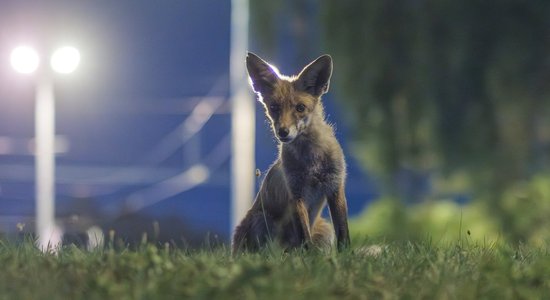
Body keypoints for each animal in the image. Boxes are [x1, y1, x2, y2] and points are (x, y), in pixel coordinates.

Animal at [231, 53, 352, 253]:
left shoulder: (335, 184)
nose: (283, 132)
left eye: (300, 108)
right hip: (261, 220)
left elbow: (343, 231)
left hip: (324, 229)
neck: (312, 161)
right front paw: (309, 258)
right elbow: (303, 234)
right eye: (274, 108)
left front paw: (346, 255)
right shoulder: (295, 192)